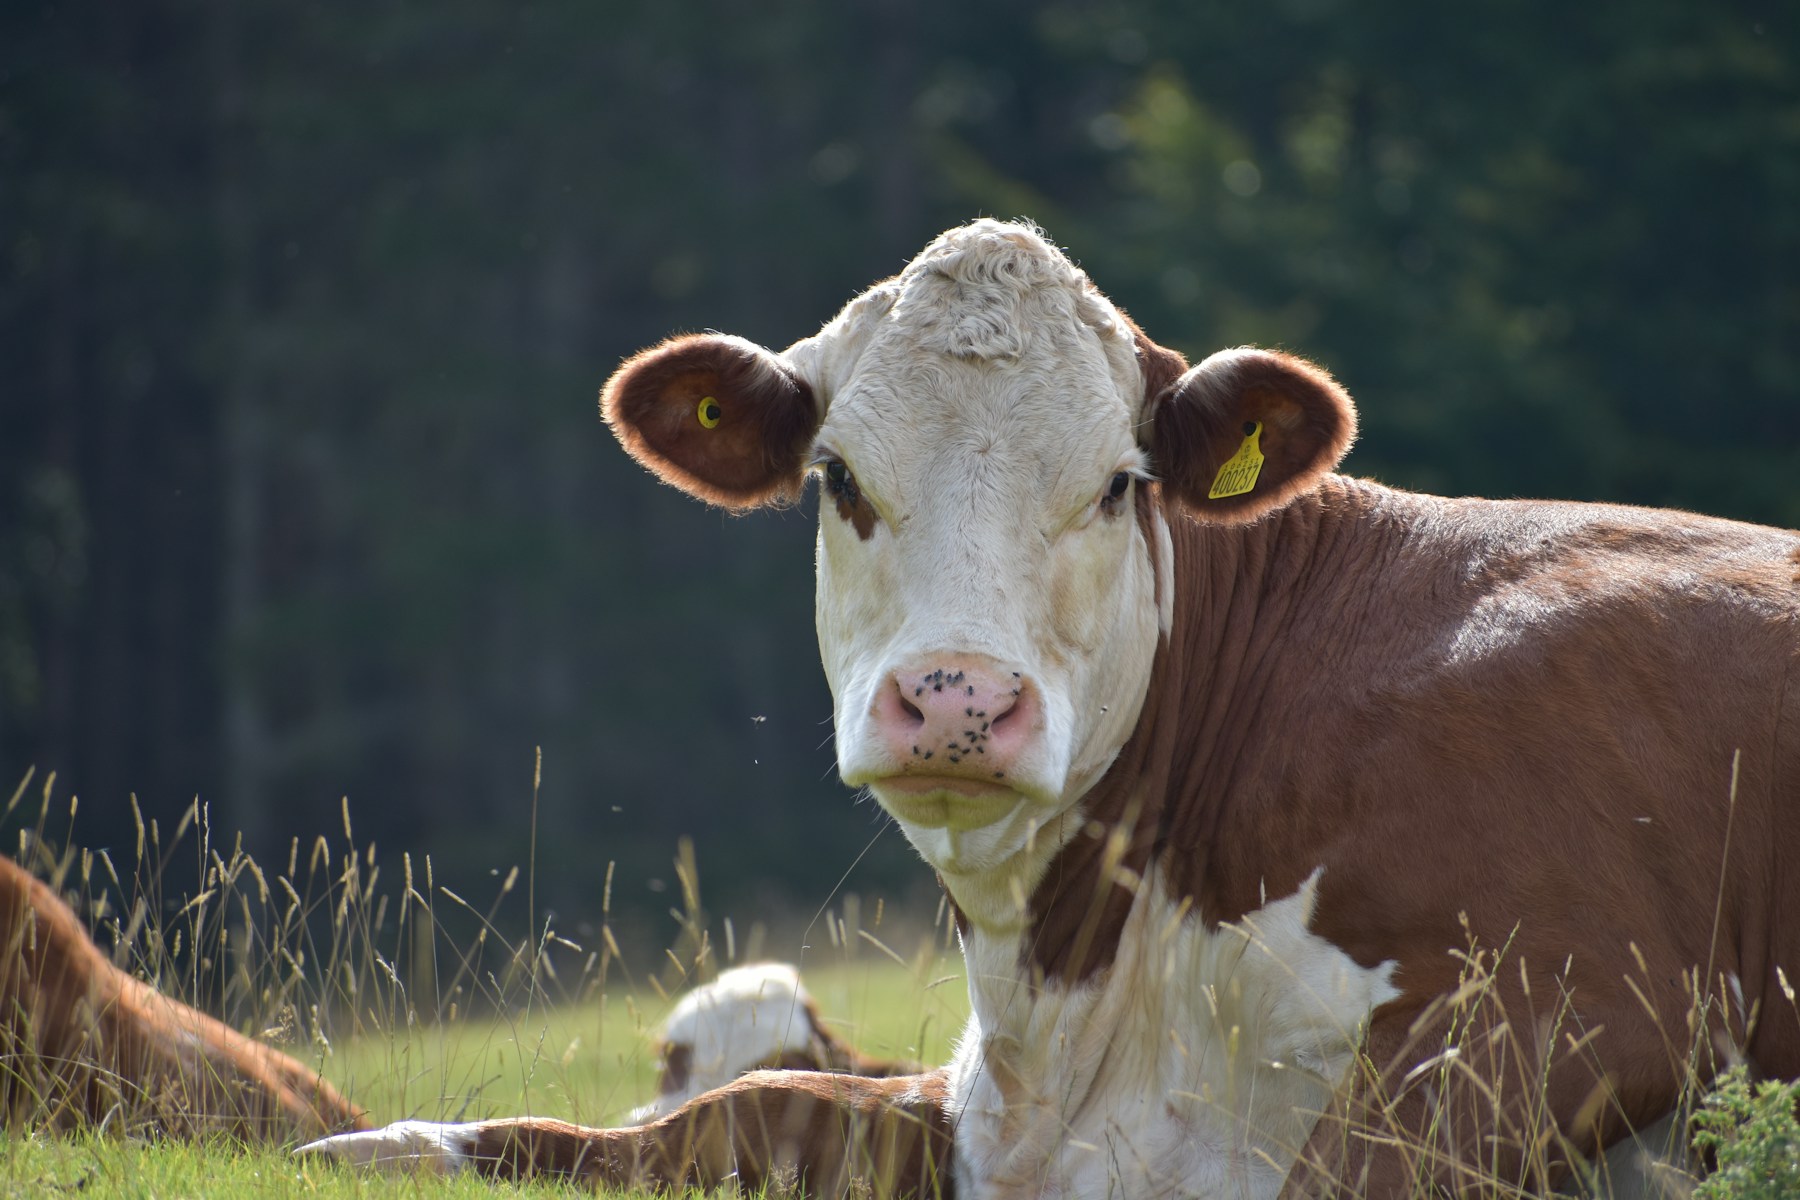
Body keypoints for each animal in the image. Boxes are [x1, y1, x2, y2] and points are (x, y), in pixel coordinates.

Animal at [299, 218, 1800, 1197]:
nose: (955, 699)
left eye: (1119, 483)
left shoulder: (1582, 996)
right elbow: (734, 1108)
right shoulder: (982, 1119)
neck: (1076, 998)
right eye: (838, 475)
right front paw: (372, 1145)